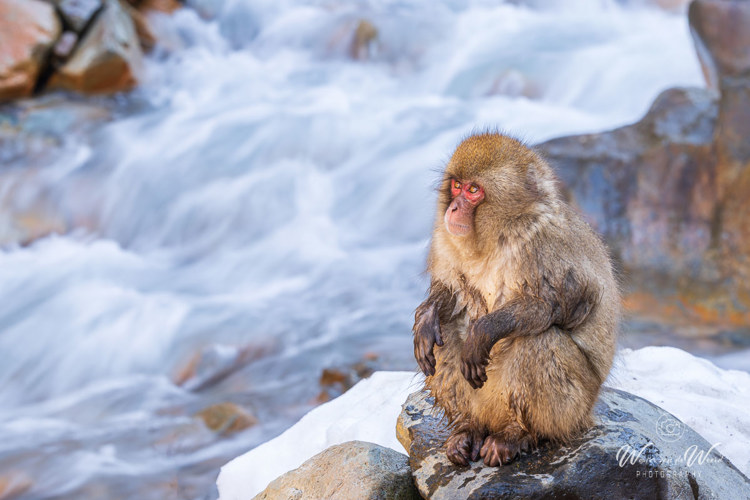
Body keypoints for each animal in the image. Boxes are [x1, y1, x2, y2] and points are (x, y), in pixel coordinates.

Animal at [413, 132, 619, 467]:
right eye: (456, 185)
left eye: (473, 191)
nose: (453, 208)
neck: (497, 234)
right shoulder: (445, 238)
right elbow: (451, 294)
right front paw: (427, 317)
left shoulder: (544, 245)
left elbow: (560, 306)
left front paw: (483, 331)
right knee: (444, 336)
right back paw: (468, 428)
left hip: (573, 408)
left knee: (538, 341)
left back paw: (517, 435)